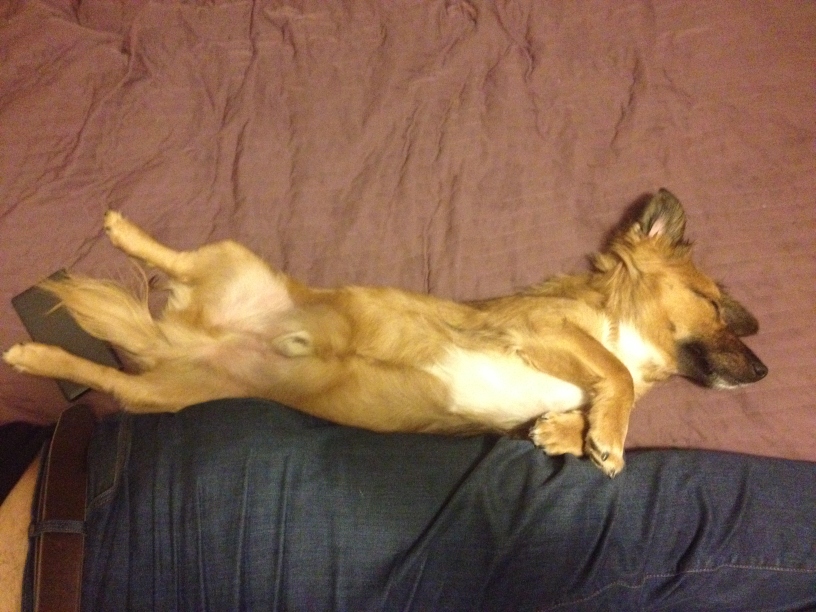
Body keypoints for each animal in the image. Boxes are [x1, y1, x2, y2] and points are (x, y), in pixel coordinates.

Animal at [3, 189, 767, 476]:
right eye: (712, 303)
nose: (763, 372)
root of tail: (192, 335)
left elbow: (586, 400)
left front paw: (564, 433)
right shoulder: (544, 329)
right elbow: (614, 373)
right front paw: (608, 437)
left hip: (165, 396)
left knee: (106, 377)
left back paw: (36, 353)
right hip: (231, 256)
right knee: (172, 258)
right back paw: (120, 235)